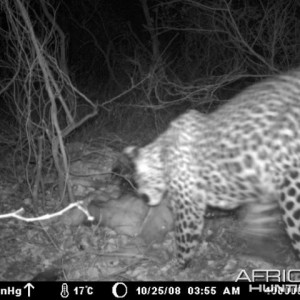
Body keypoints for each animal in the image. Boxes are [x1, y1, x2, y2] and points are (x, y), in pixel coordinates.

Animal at [120, 68, 300, 268]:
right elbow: (258, 222)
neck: (163, 153)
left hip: (292, 193)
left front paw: (174, 265)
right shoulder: (260, 190)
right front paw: (261, 252)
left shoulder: (189, 207)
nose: (143, 197)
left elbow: (183, 241)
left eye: (138, 178)